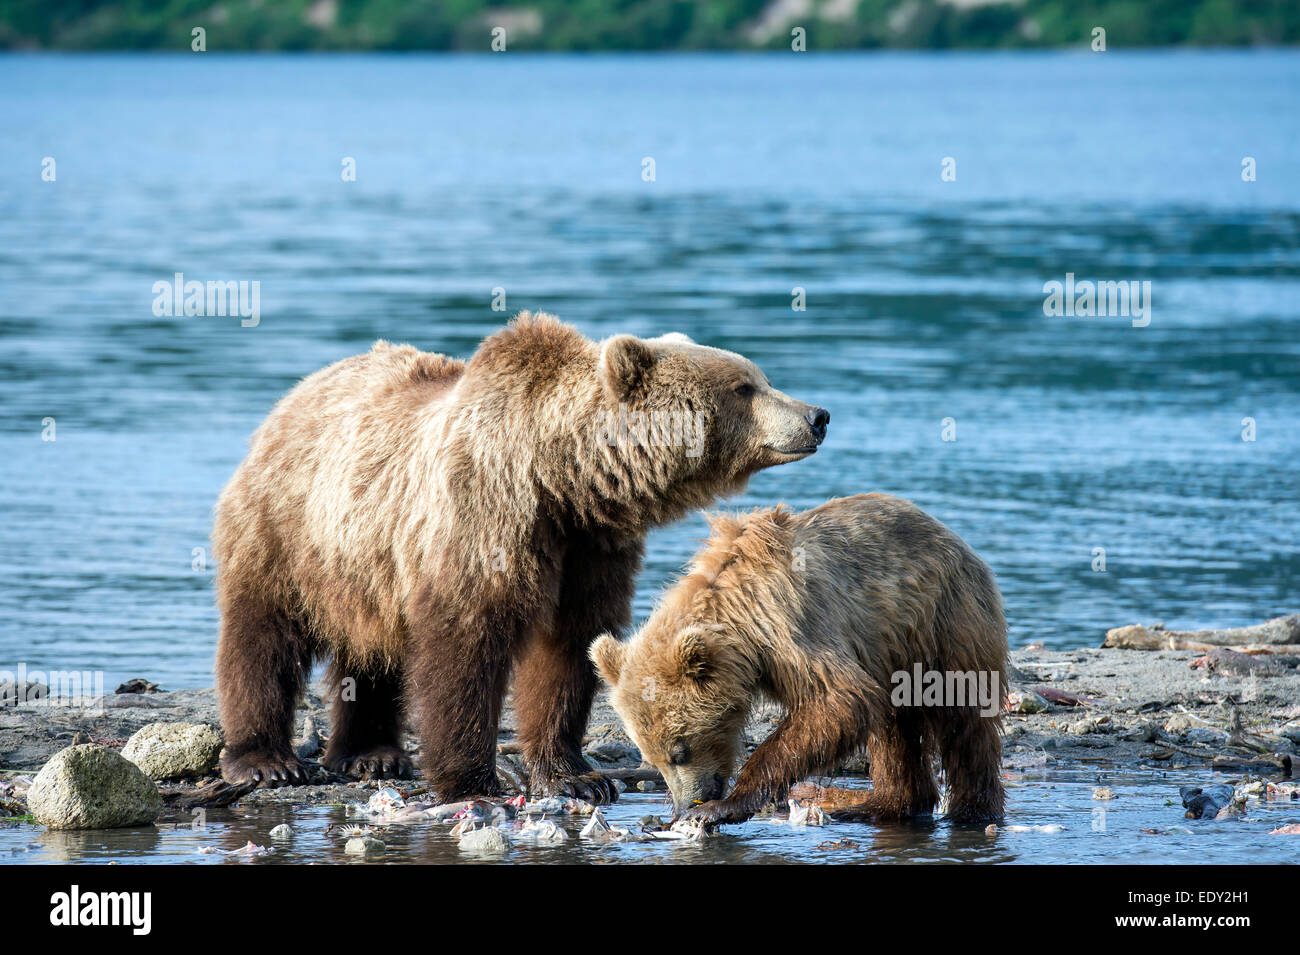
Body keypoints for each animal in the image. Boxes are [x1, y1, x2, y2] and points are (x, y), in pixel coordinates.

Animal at [209, 310, 826, 805]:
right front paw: (470, 779)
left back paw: (372, 753)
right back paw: (266, 761)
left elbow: (570, 647)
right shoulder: (484, 520)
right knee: (262, 637)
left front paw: (575, 775)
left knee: (369, 650)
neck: (561, 479)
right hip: (288, 529)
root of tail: (295, 395)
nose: (816, 415)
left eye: (760, 377)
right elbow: (465, 646)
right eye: (744, 386)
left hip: (363, 563)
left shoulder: (589, 546)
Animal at [590, 496, 1003, 826]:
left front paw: (723, 807)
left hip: (944, 619)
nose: (685, 803)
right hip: (889, 650)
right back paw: (880, 805)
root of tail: (953, 537)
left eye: (681, 750)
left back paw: (971, 812)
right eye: (652, 757)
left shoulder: (790, 625)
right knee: (892, 727)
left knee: (963, 721)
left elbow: (838, 698)